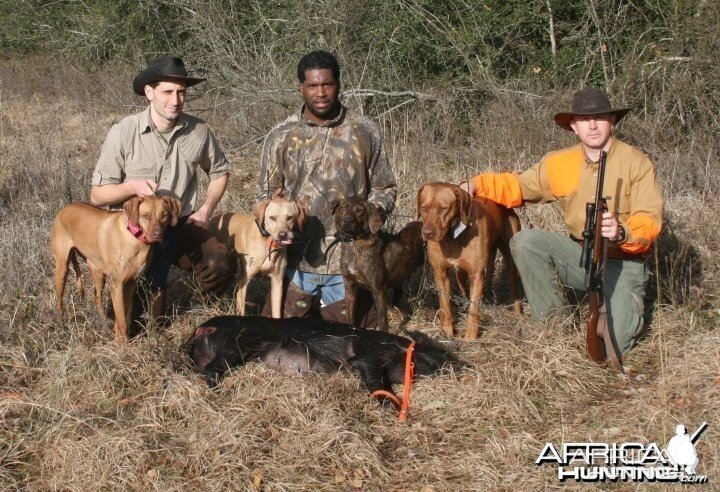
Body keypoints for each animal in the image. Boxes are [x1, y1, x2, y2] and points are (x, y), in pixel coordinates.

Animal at [186, 316, 456, 408]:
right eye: (434, 356)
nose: (459, 367)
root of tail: (200, 328)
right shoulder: (367, 356)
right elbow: (375, 381)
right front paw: (392, 407)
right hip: (232, 346)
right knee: (210, 371)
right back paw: (223, 393)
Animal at [334, 198, 424, 332]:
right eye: (343, 207)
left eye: (360, 211)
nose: (347, 220)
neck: (355, 243)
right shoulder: (350, 287)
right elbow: (350, 317)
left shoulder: (378, 291)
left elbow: (382, 322)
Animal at [416, 183, 524, 340]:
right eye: (423, 207)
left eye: (444, 208)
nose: (427, 233)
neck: (452, 237)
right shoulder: (440, 273)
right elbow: (445, 305)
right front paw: (447, 331)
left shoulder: (476, 275)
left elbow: (474, 310)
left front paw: (470, 337)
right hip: (461, 273)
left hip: (510, 255)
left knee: (513, 283)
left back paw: (517, 312)